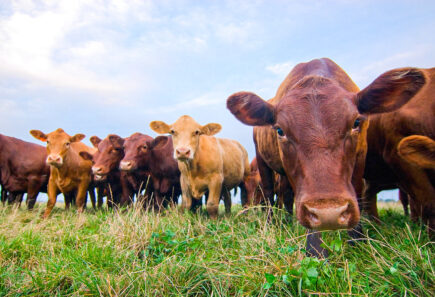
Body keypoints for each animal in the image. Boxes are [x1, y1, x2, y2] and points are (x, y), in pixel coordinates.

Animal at [227, 57, 428, 254]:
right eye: (280, 130)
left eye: (356, 122)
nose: (329, 214)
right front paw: (315, 248)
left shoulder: (361, 155)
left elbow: (357, 191)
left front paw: (357, 240)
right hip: (263, 161)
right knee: (270, 194)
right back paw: (273, 223)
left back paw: (288, 221)